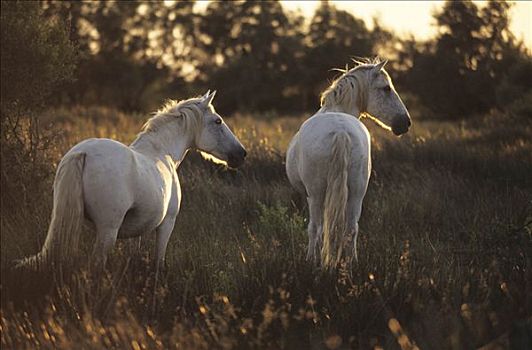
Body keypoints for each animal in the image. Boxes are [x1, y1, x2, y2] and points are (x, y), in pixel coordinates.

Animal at [17, 90, 246, 270]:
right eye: (218, 121)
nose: (241, 154)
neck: (162, 150)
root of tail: (83, 153)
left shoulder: (138, 229)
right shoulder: (167, 223)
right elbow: (159, 261)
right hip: (107, 230)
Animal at [286, 59, 412, 268]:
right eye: (386, 88)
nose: (405, 123)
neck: (338, 109)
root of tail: (340, 131)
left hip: (316, 194)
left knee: (316, 228)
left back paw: (312, 261)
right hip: (357, 192)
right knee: (351, 228)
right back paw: (352, 263)